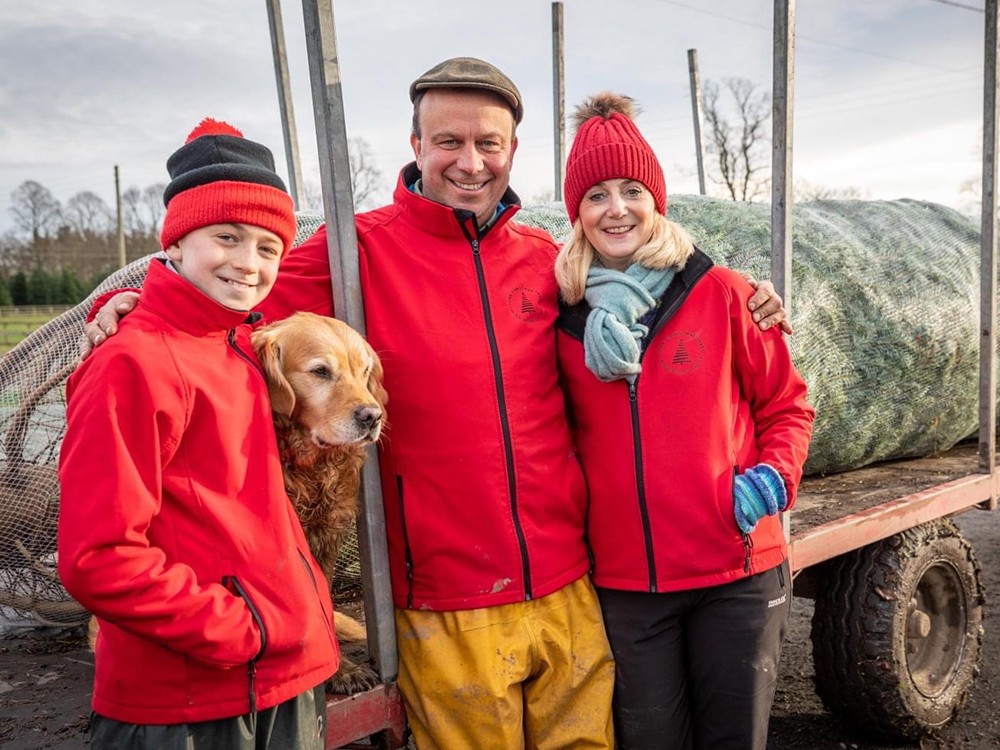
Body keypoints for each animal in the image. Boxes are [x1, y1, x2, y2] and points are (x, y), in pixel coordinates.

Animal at [254, 310, 386, 692]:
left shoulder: (326, 539)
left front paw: (342, 671)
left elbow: (323, 606)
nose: (373, 416)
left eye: (365, 370)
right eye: (321, 371)